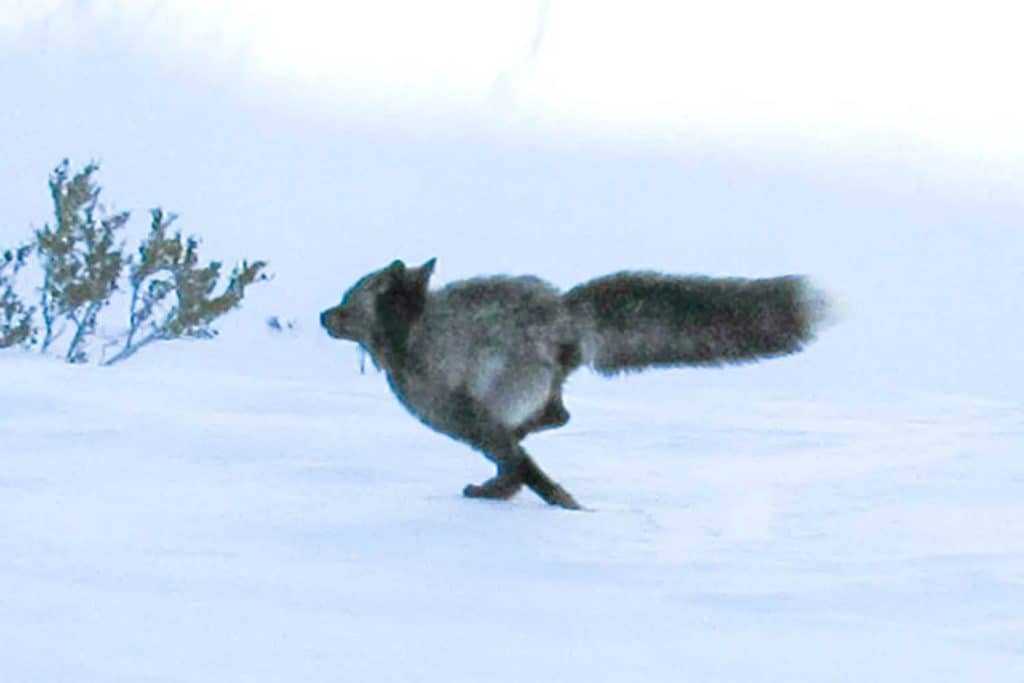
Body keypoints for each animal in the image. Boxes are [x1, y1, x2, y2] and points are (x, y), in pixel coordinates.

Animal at [320, 259, 829, 510]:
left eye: (347, 302)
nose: (323, 315)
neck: (413, 333)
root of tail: (564, 312)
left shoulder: (468, 418)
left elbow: (521, 467)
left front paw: (555, 501)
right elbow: (520, 462)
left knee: (545, 424)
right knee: (556, 416)